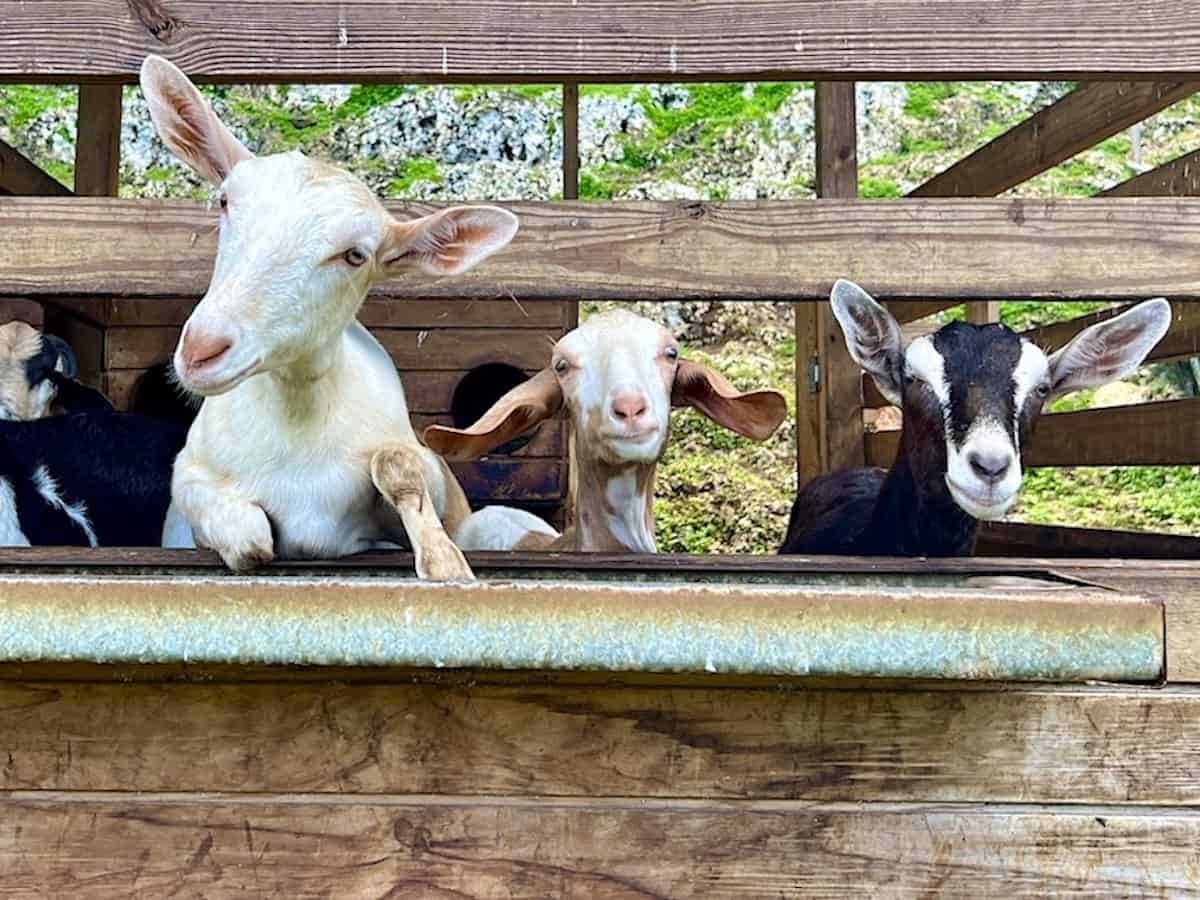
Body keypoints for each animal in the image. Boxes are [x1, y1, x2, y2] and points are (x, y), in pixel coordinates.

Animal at [140, 56, 516, 578]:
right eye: (225, 201)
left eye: (355, 255)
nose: (202, 349)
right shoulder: (188, 478)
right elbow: (247, 534)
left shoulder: (434, 471)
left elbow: (400, 465)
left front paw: (443, 560)